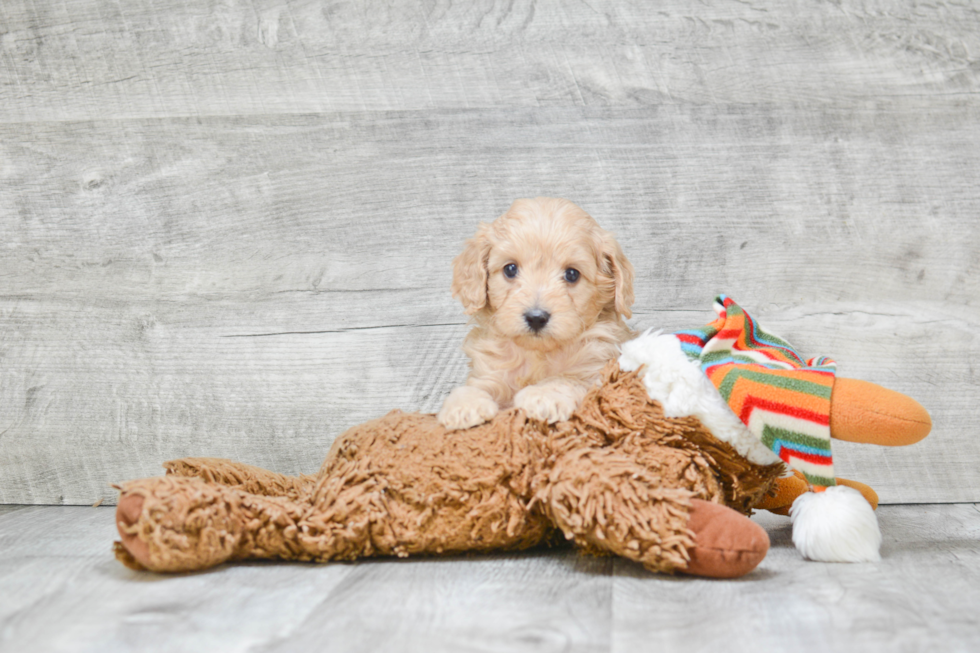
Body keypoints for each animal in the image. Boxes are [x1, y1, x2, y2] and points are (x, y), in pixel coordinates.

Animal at [436, 200, 636, 432]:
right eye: (510, 269)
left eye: (572, 274)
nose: (536, 318)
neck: (536, 354)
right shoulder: (490, 373)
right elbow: (475, 386)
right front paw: (464, 405)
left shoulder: (597, 371)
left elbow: (565, 379)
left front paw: (543, 396)